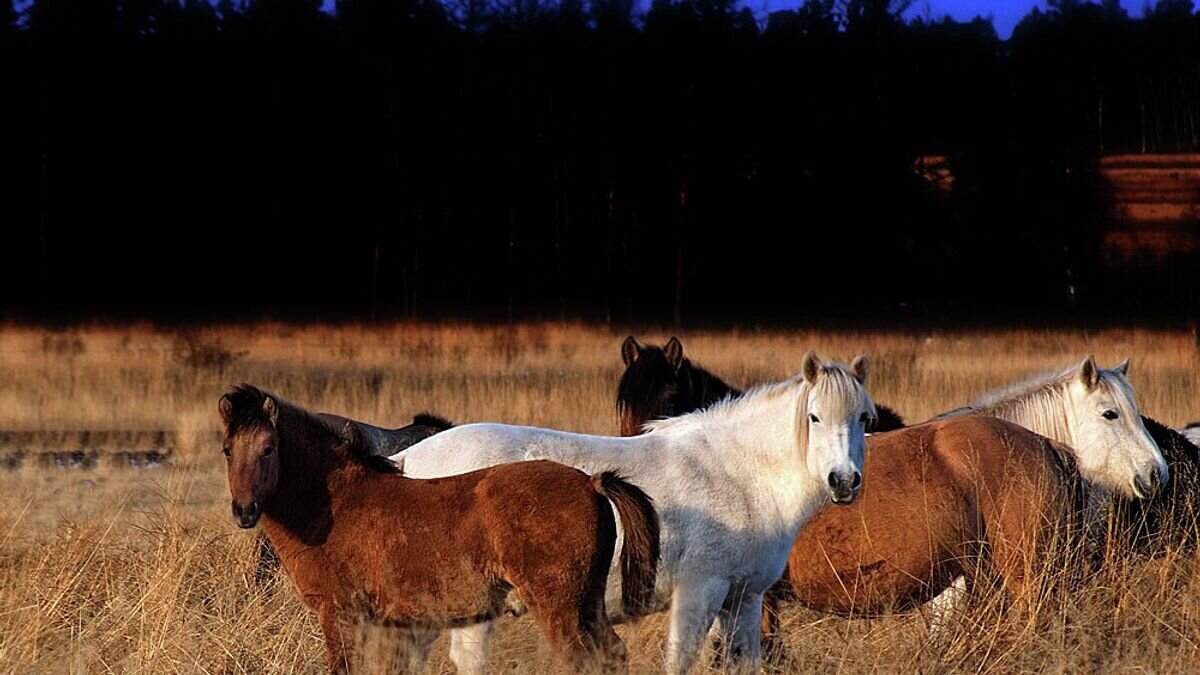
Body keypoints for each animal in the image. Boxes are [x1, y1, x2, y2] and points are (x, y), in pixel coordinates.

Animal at [220, 384, 662, 672]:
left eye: (269, 448)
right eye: (227, 450)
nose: (244, 511)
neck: (333, 505)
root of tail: (591, 482)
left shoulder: (341, 614)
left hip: (560, 610)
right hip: (588, 605)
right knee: (614, 654)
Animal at [398, 353, 878, 672]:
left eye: (863, 418)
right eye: (813, 417)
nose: (843, 481)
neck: (738, 472)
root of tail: (405, 461)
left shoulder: (744, 598)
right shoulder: (698, 593)